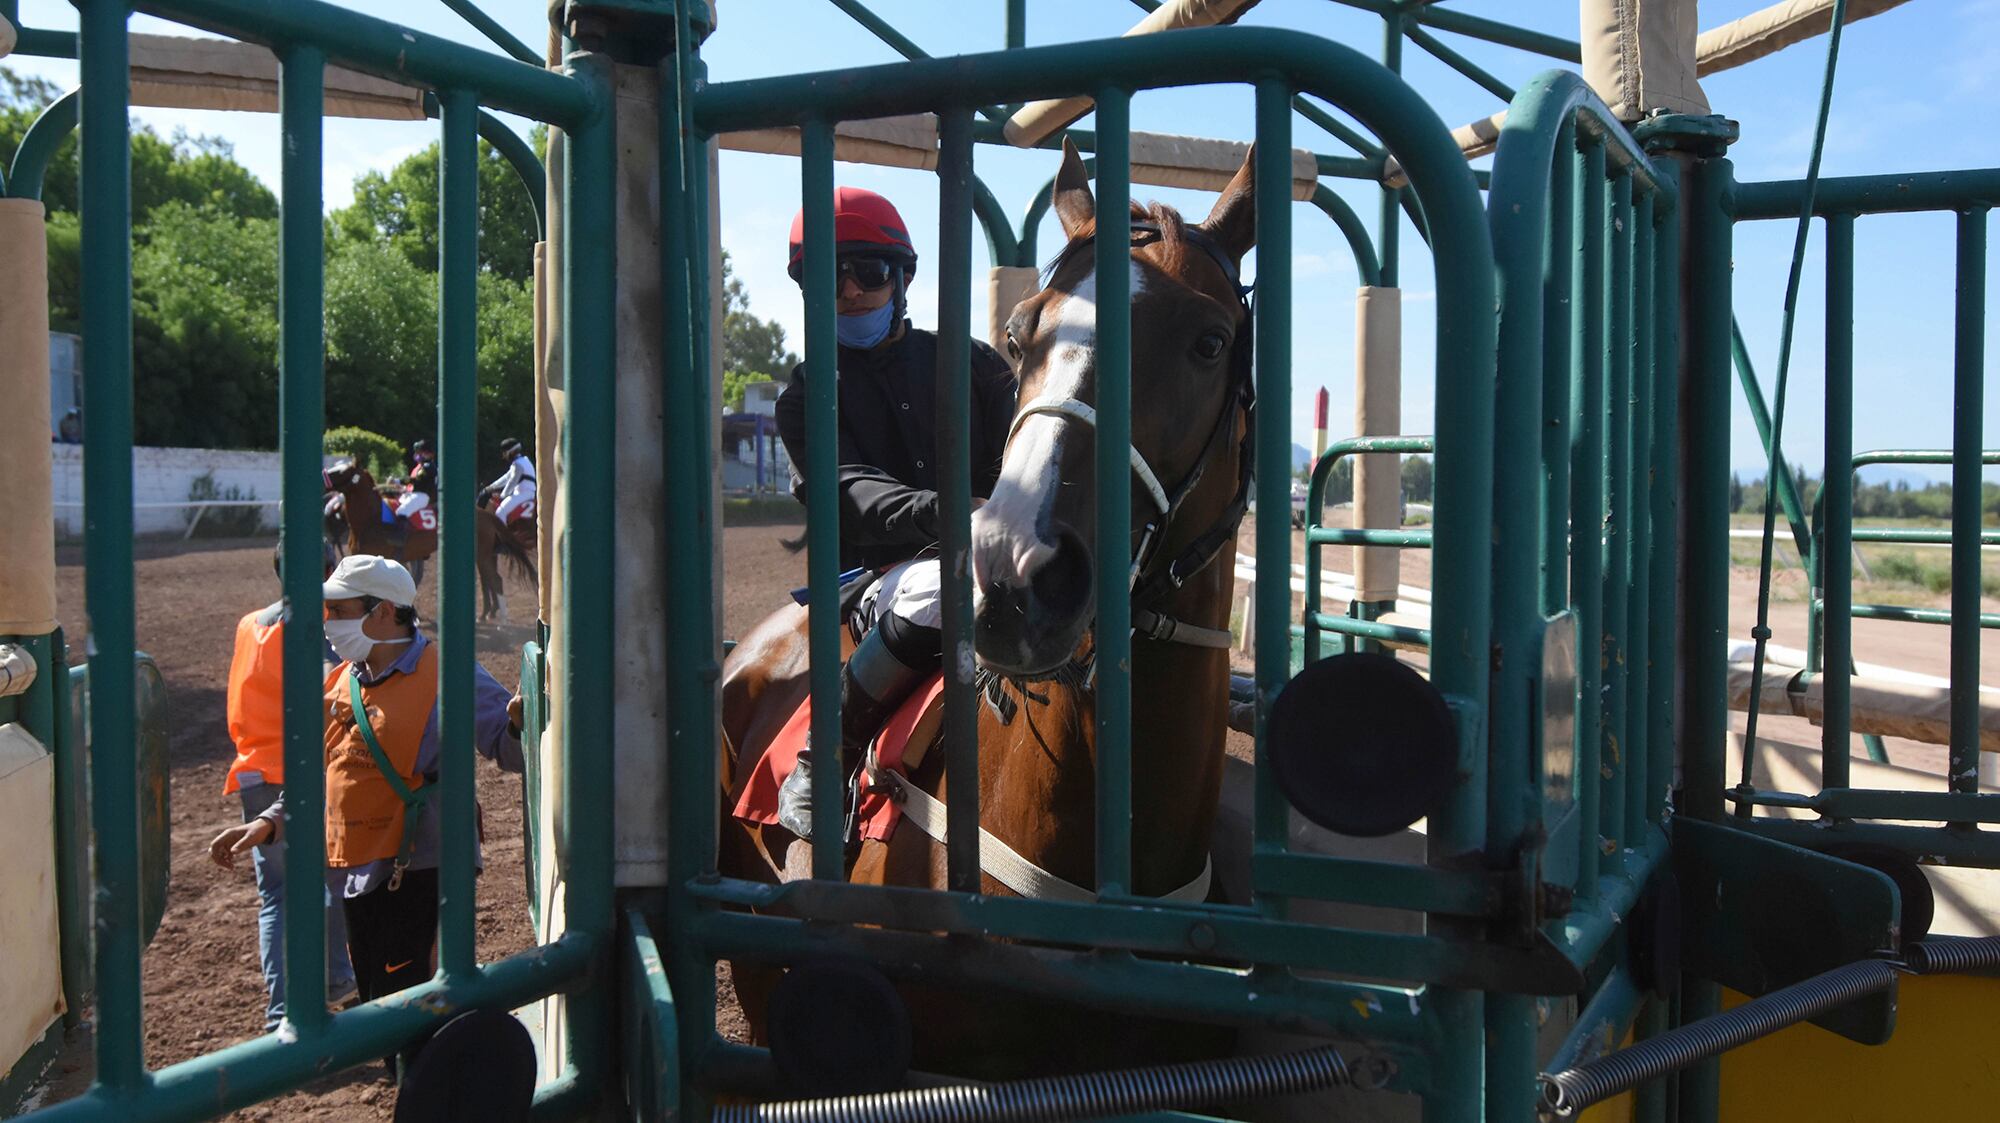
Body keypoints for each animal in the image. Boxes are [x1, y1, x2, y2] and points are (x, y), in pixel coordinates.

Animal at [324, 461, 540, 619]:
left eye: (341, 470)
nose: (324, 476)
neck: (372, 520)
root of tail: (486, 514)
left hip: (483, 554)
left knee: (495, 580)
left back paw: (500, 618)